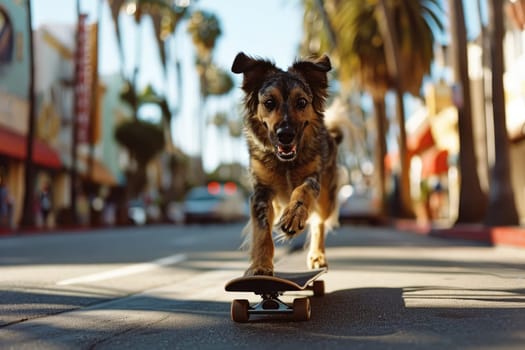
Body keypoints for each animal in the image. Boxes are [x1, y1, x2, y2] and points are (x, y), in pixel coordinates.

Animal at [231, 51, 346, 276]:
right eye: (269, 102)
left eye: (301, 102)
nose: (285, 135)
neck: (285, 164)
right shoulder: (261, 191)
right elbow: (262, 229)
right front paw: (260, 265)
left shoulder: (313, 179)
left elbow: (303, 191)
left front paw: (294, 216)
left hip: (326, 200)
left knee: (319, 221)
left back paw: (317, 256)